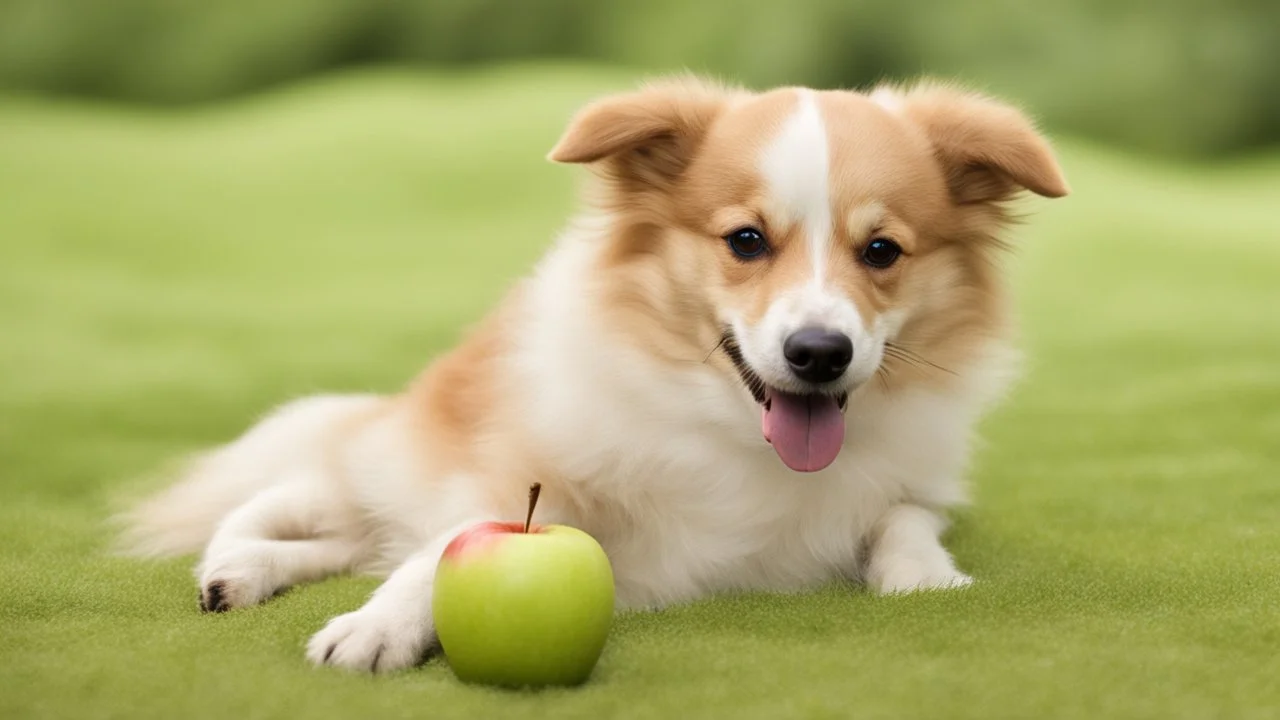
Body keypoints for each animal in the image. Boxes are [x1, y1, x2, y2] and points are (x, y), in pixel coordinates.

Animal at [120, 78, 1064, 671]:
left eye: (882, 252)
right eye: (745, 240)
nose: (819, 352)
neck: (734, 436)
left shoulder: (914, 482)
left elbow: (903, 518)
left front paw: (924, 577)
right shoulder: (522, 481)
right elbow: (436, 558)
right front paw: (374, 629)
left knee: (349, 543)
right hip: (373, 462)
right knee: (279, 500)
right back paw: (234, 569)